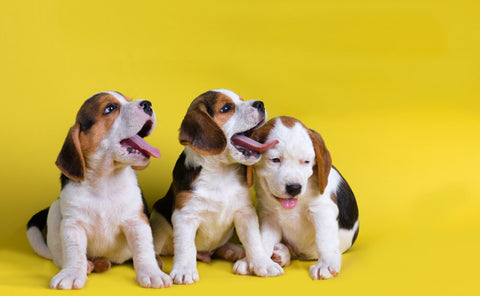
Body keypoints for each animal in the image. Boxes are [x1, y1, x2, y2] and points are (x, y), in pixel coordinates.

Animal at [25, 92, 172, 290]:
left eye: (129, 99)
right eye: (110, 108)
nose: (148, 105)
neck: (105, 180)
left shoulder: (136, 222)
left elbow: (143, 250)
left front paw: (152, 272)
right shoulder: (73, 225)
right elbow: (74, 251)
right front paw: (72, 273)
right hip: (55, 210)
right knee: (59, 256)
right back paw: (90, 264)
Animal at [150, 88, 284, 284]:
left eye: (242, 99)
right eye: (226, 108)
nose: (260, 104)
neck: (220, 173)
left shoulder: (245, 213)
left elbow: (253, 240)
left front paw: (263, 263)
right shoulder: (185, 216)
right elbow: (186, 247)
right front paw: (184, 270)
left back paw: (233, 250)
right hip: (158, 220)